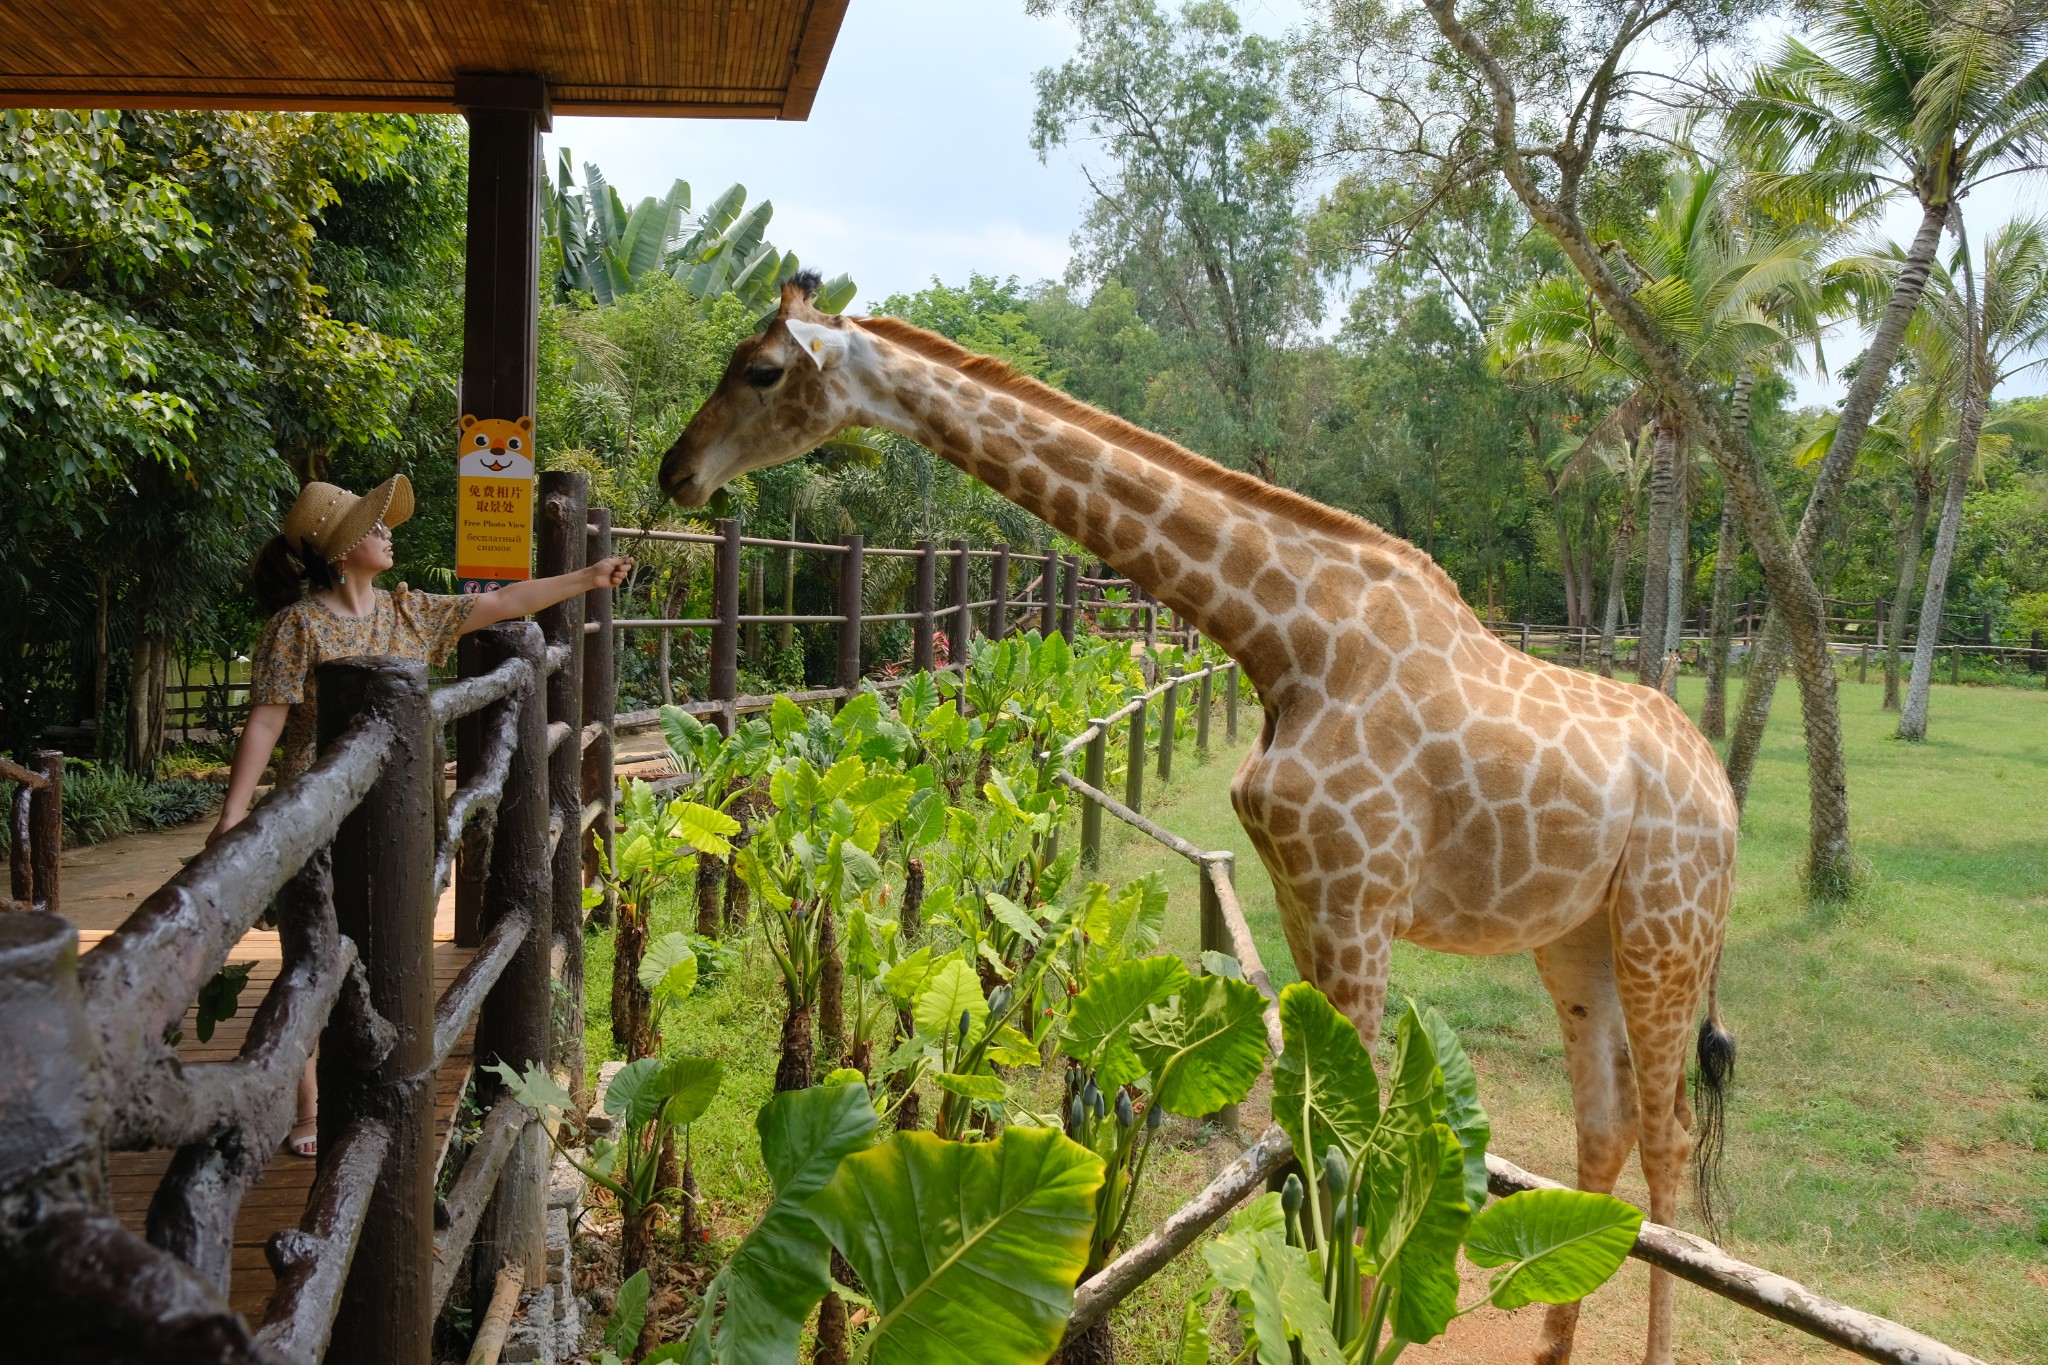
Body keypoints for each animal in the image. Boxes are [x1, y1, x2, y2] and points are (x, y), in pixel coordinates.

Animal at [663, 280, 1736, 1365]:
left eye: (762, 370)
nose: (676, 471)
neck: (1289, 643)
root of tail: (1718, 786)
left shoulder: (1357, 903)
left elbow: (1359, 1147)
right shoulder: (1304, 899)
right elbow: (1316, 1138)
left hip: (1665, 929)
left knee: (1669, 1133)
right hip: (1576, 934)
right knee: (1603, 1127)